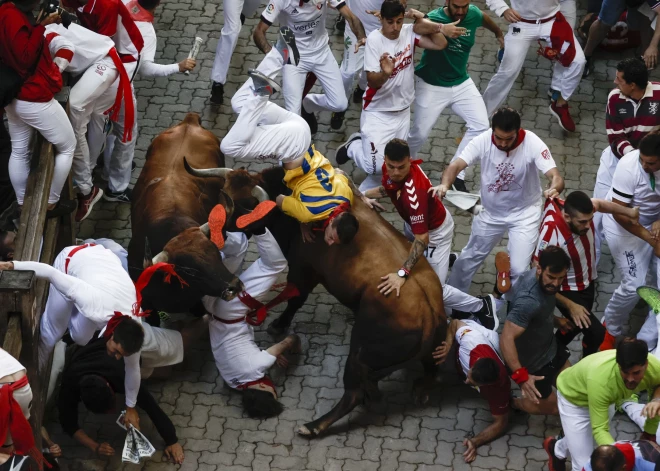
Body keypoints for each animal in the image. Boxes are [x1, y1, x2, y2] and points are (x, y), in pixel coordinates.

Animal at [188, 165, 446, 438]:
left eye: (246, 207)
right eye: (223, 194)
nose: (216, 234)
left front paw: (278, 324)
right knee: (429, 369)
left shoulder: (304, 270)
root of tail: (429, 314)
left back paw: (313, 426)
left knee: (354, 393)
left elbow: (295, 298)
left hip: (359, 352)